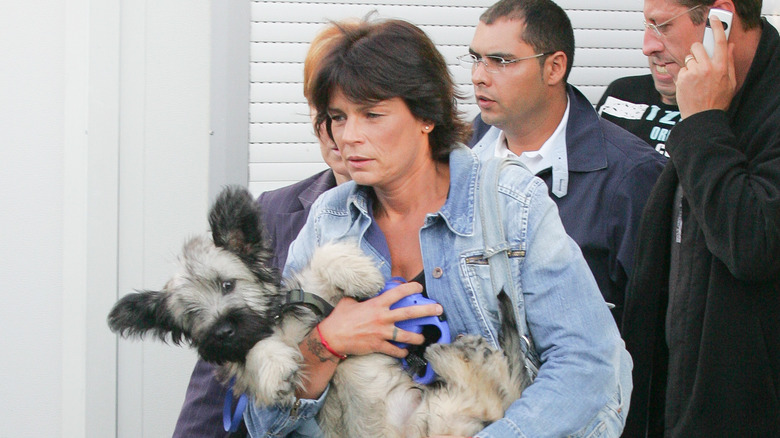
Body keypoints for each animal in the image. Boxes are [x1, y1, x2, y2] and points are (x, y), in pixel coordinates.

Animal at [106, 186, 532, 438]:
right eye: (192, 316)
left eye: (227, 285)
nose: (224, 331)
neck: (280, 323)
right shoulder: (243, 373)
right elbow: (256, 353)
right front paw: (275, 365)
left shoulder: (315, 292)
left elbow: (327, 255)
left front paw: (360, 274)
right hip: (447, 416)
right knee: (491, 395)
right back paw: (461, 353)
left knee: (497, 394)